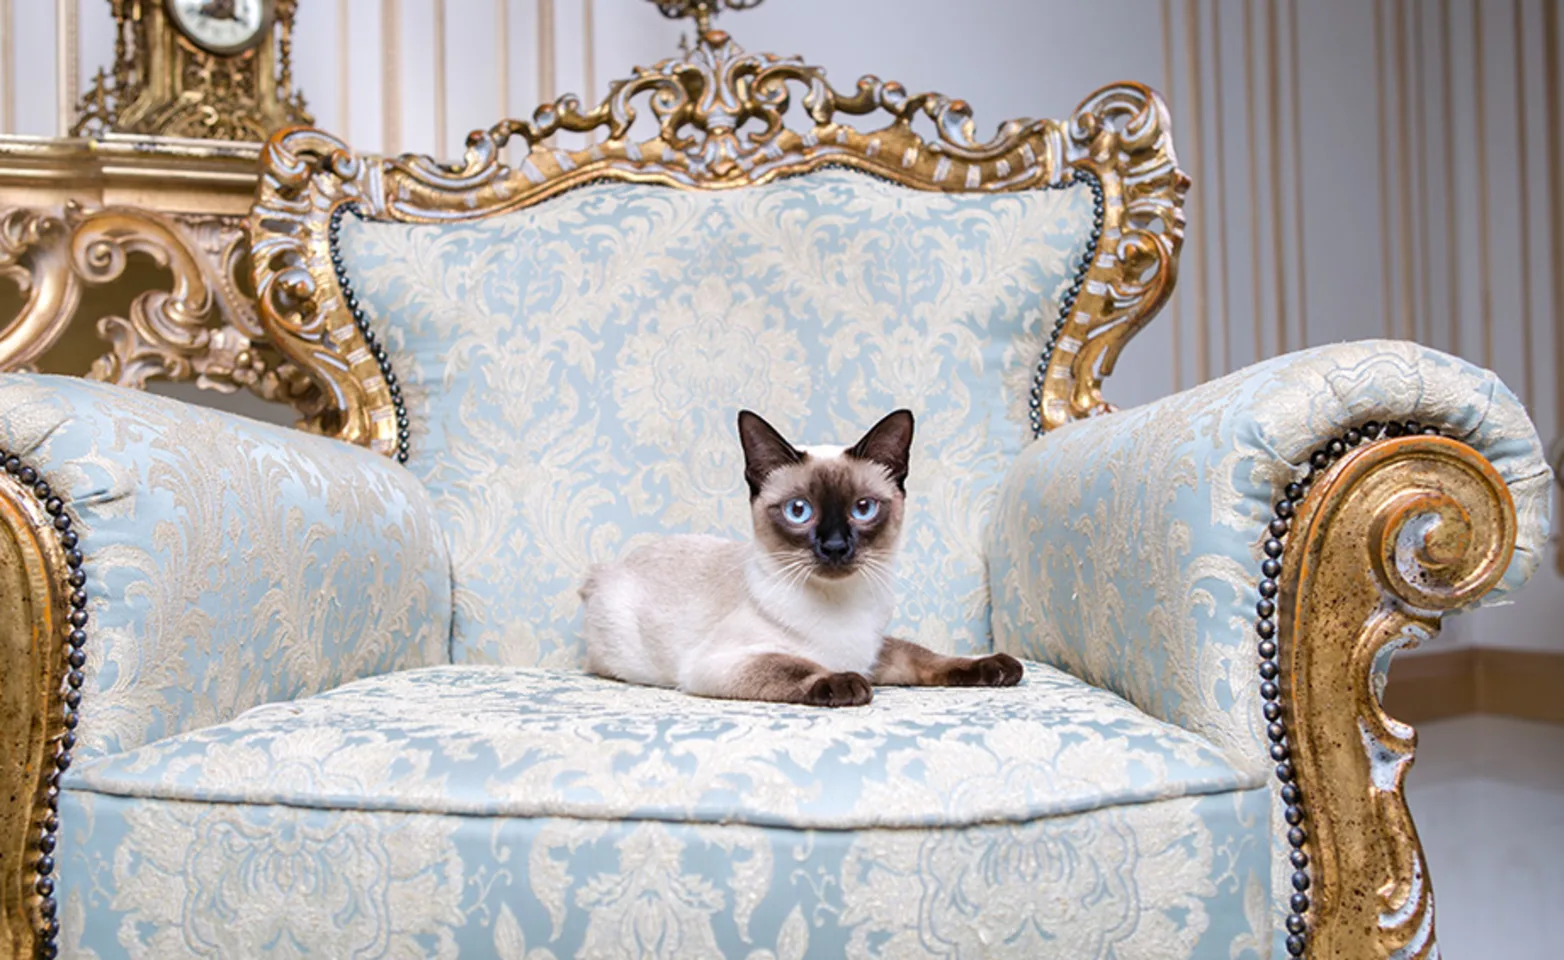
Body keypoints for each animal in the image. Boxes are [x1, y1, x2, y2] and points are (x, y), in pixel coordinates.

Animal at [581, 406, 1019, 706]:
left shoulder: (874, 650)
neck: (841, 608)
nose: (835, 547)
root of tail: (606, 568)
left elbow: (926, 656)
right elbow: (796, 666)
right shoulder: (723, 662)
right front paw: (845, 684)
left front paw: (997, 667)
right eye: (798, 511)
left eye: (863, 508)